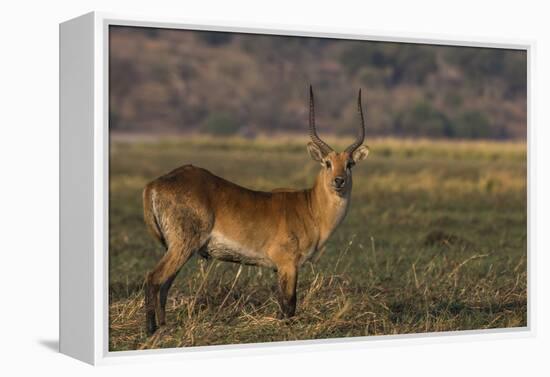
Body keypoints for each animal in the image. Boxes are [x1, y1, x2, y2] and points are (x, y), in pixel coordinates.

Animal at [142, 86, 370, 334]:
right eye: (327, 163)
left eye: (349, 164)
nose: (339, 181)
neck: (310, 208)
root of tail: (154, 184)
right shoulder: (288, 264)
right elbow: (289, 305)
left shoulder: (279, 268)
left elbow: (283, 304)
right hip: (182, 246)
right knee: (153, 278)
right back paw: (151, 331)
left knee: (164, 285)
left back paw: (164, 327)